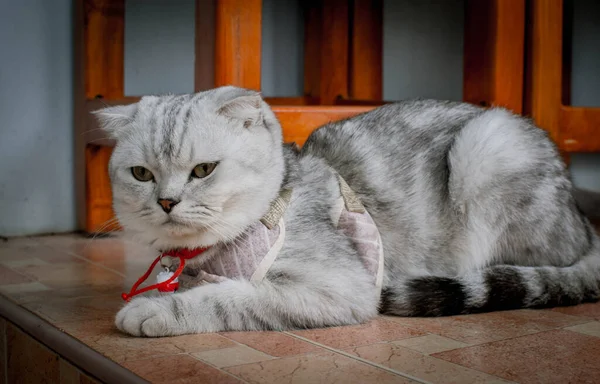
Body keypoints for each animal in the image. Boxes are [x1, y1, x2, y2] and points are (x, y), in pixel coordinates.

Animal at [95, 85, 600, 336]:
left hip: (489, 147)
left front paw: (156, 310)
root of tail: (583, 223)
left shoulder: (337, 288)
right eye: (141, 174)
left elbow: (230, 297)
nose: (166, 201)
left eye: (203, 169)